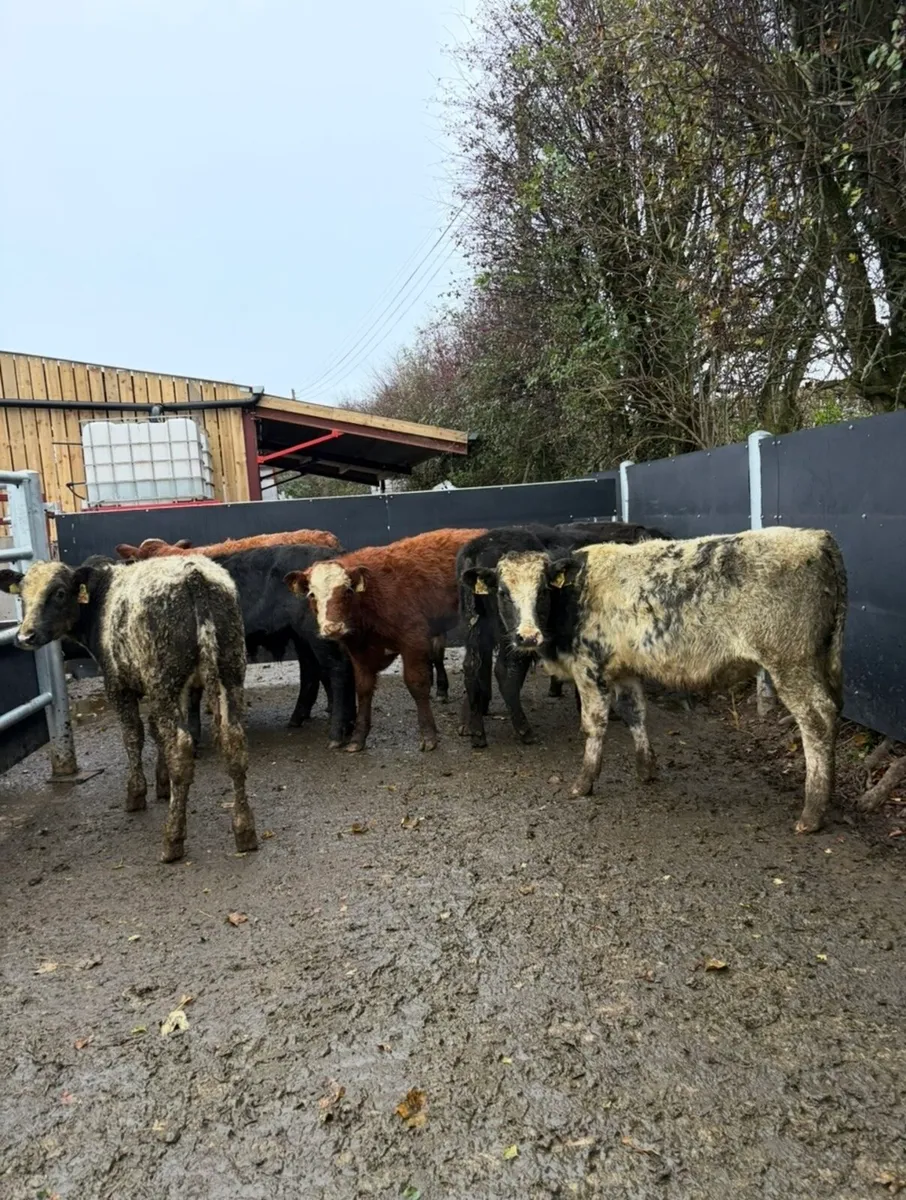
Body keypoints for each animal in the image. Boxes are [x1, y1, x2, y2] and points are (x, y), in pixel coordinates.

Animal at [0, 556, 258, 863]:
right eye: (21, 594)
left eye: (59, 593)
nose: (25, 636)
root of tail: (193, 573)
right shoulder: (180, 690)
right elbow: (157, 732)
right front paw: (162, 784)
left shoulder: (118, 685)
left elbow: (134, 735)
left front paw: (136, 793)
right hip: (229, 670)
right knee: (234, 743)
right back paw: (244, 831)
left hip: (164, 680)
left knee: (181, 750)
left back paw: (172, 839)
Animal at [285, 527, 486, 752]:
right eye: (312, 595)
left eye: (347, 591)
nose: (333, 628)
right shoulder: (359, 653)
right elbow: (363, 690)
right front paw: (358, 738)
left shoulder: (413, 640)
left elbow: (416, 685)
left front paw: (428, 735)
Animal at [458, 522, 670, 747]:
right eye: (503, 592)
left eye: (544, 590)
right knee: (505, 672)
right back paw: (523, 729)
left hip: (479, 629)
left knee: (472, 666)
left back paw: (474, 728)